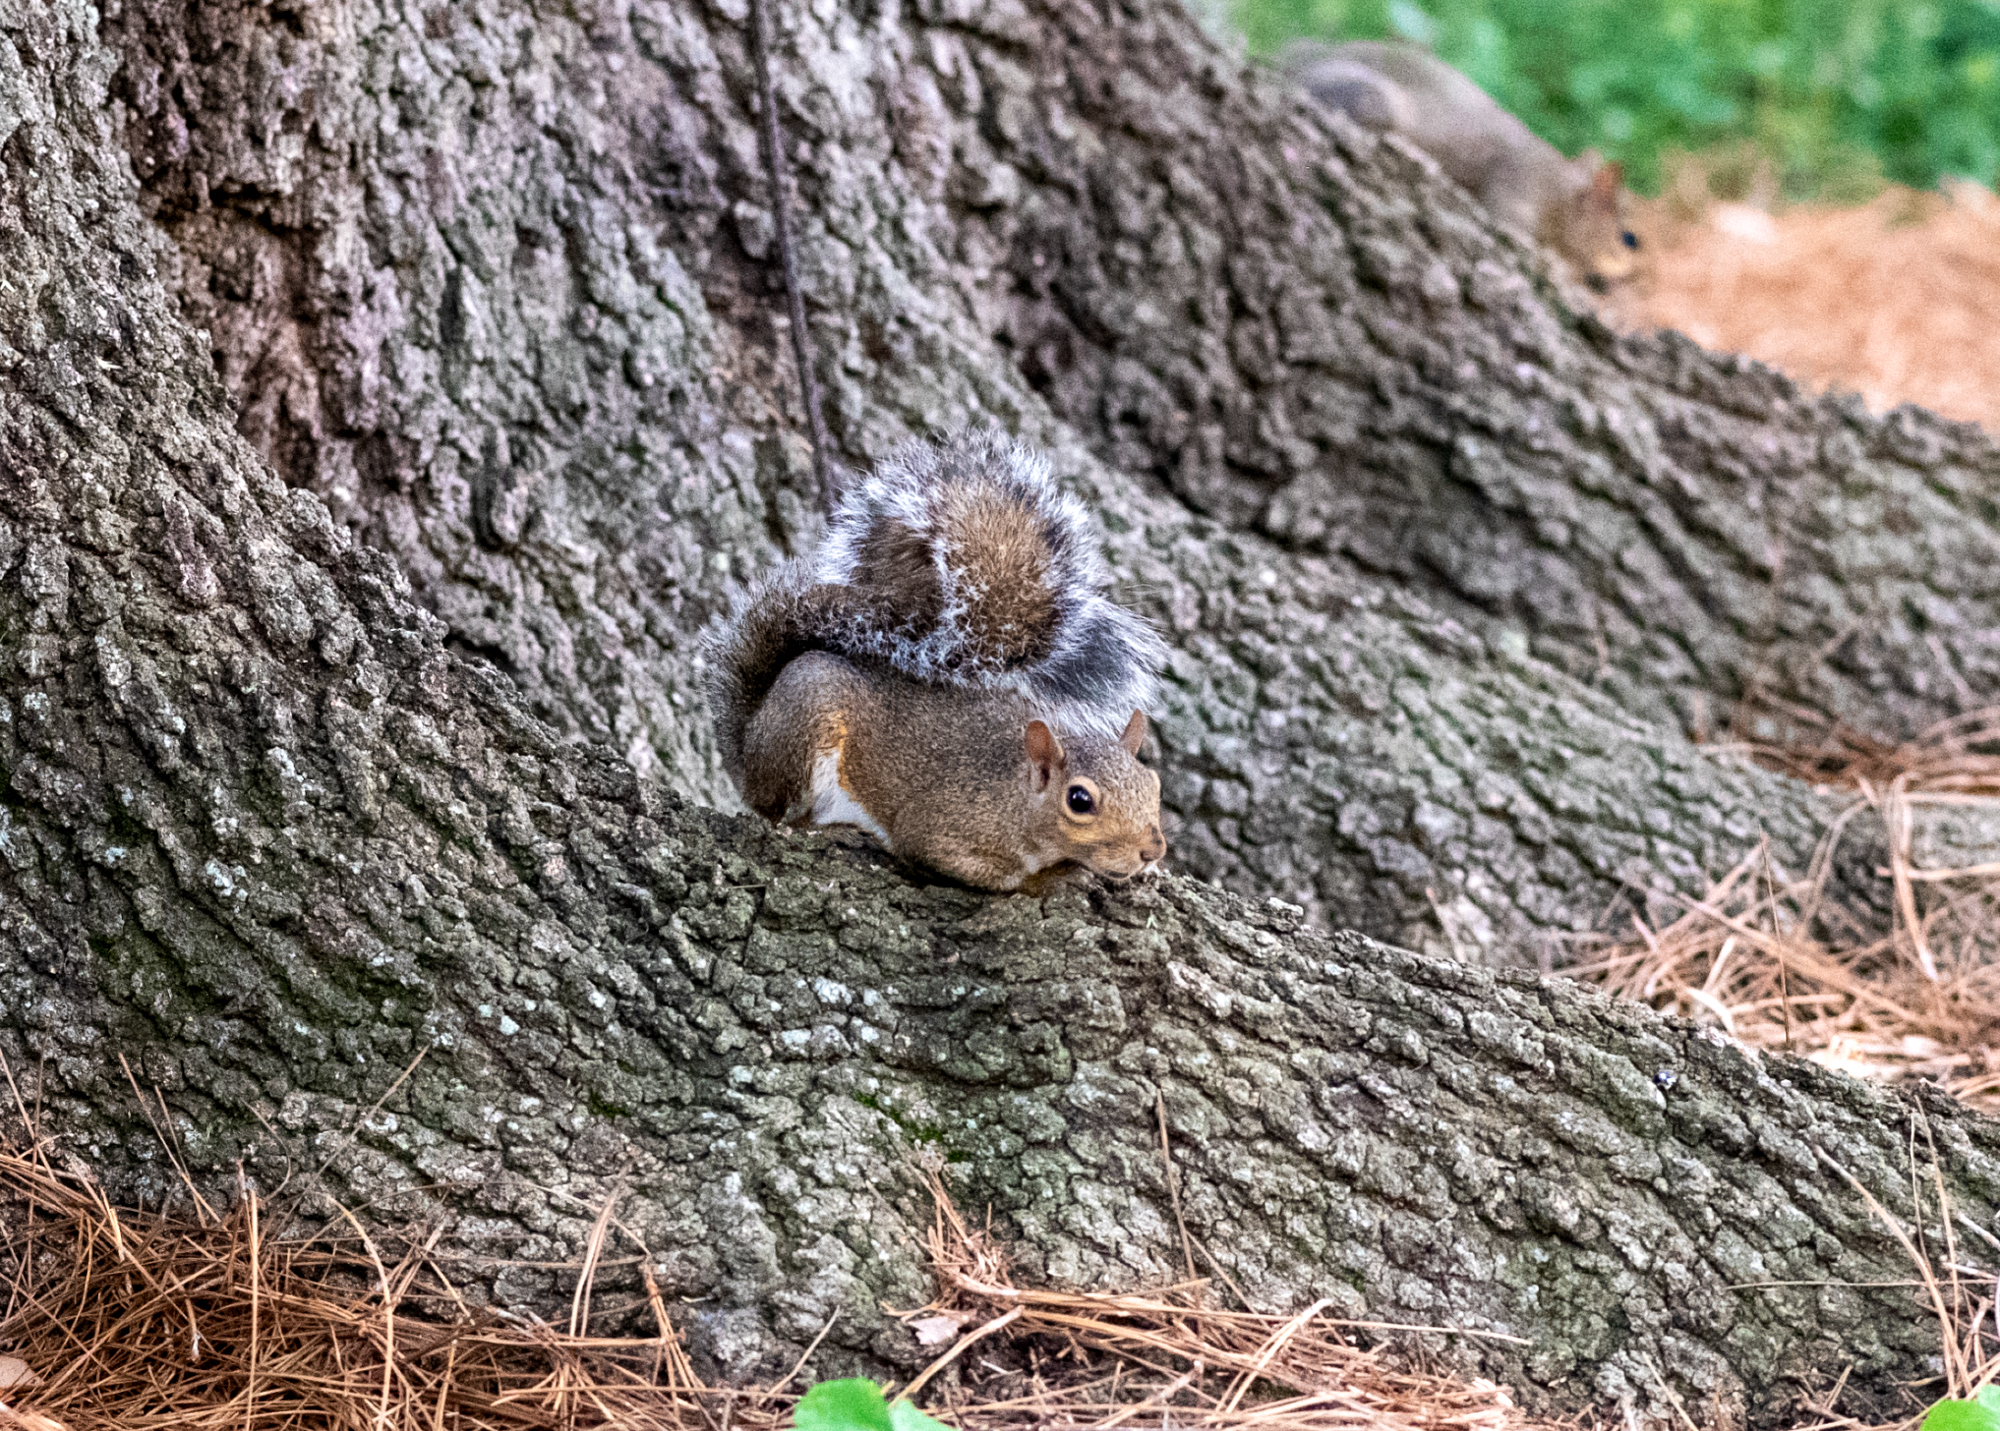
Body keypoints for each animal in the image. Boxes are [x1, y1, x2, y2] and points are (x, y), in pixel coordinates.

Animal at [708, 429, 1168, 887]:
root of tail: (749, 744)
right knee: (784, 817)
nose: (1153, 851)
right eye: (1079, 800)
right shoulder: (942, 828)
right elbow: (976, 870)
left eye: (1153, 784)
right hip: (806, 728)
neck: (1016, 796)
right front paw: (1049, 879)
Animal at [1280, 38, 1640, 287]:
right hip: (1371, 101)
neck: (1556, 185)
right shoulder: (1516, 183)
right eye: (1628, 238)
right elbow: (1509, 226)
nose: (1634, 275)